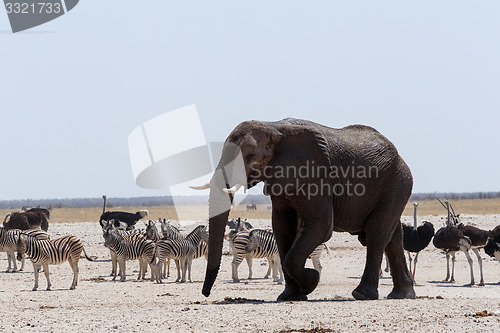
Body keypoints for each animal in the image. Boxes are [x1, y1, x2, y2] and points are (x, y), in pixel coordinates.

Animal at [193, 118, 416, 300]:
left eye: (249, 155)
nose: (206, 293)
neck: (274, 127)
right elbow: (282, 227)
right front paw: (290, 295)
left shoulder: (317, 175)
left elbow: (321, 226)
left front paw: (312, 279)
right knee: (393, 235)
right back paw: (402, 295)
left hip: (398, 182)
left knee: (377, 233)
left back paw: (363, 294)